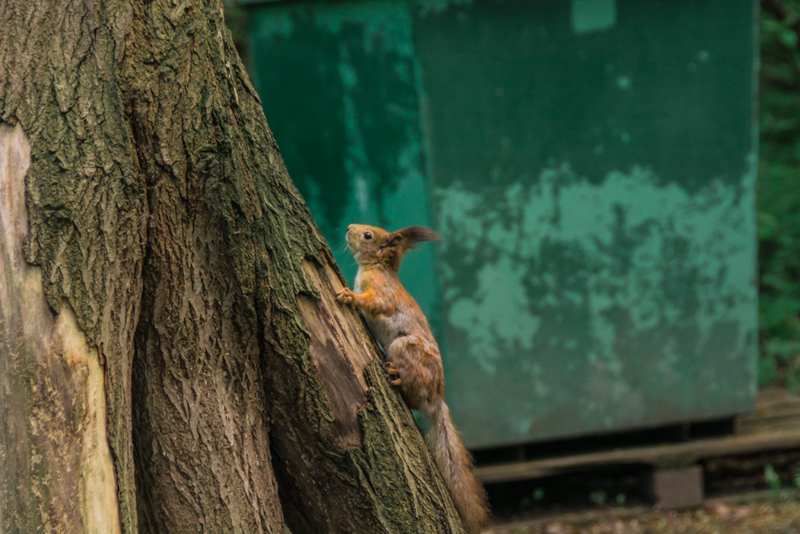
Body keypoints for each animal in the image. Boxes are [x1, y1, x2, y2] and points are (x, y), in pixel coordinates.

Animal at [336, 224, 490, 534]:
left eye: (368, 235)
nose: (348, 228)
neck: (375, 267)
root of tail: (436, 397)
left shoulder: (381, 292)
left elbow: (376, 303)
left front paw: (349, 297)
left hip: (402, 349)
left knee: (411, 395)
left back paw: (396, 378)